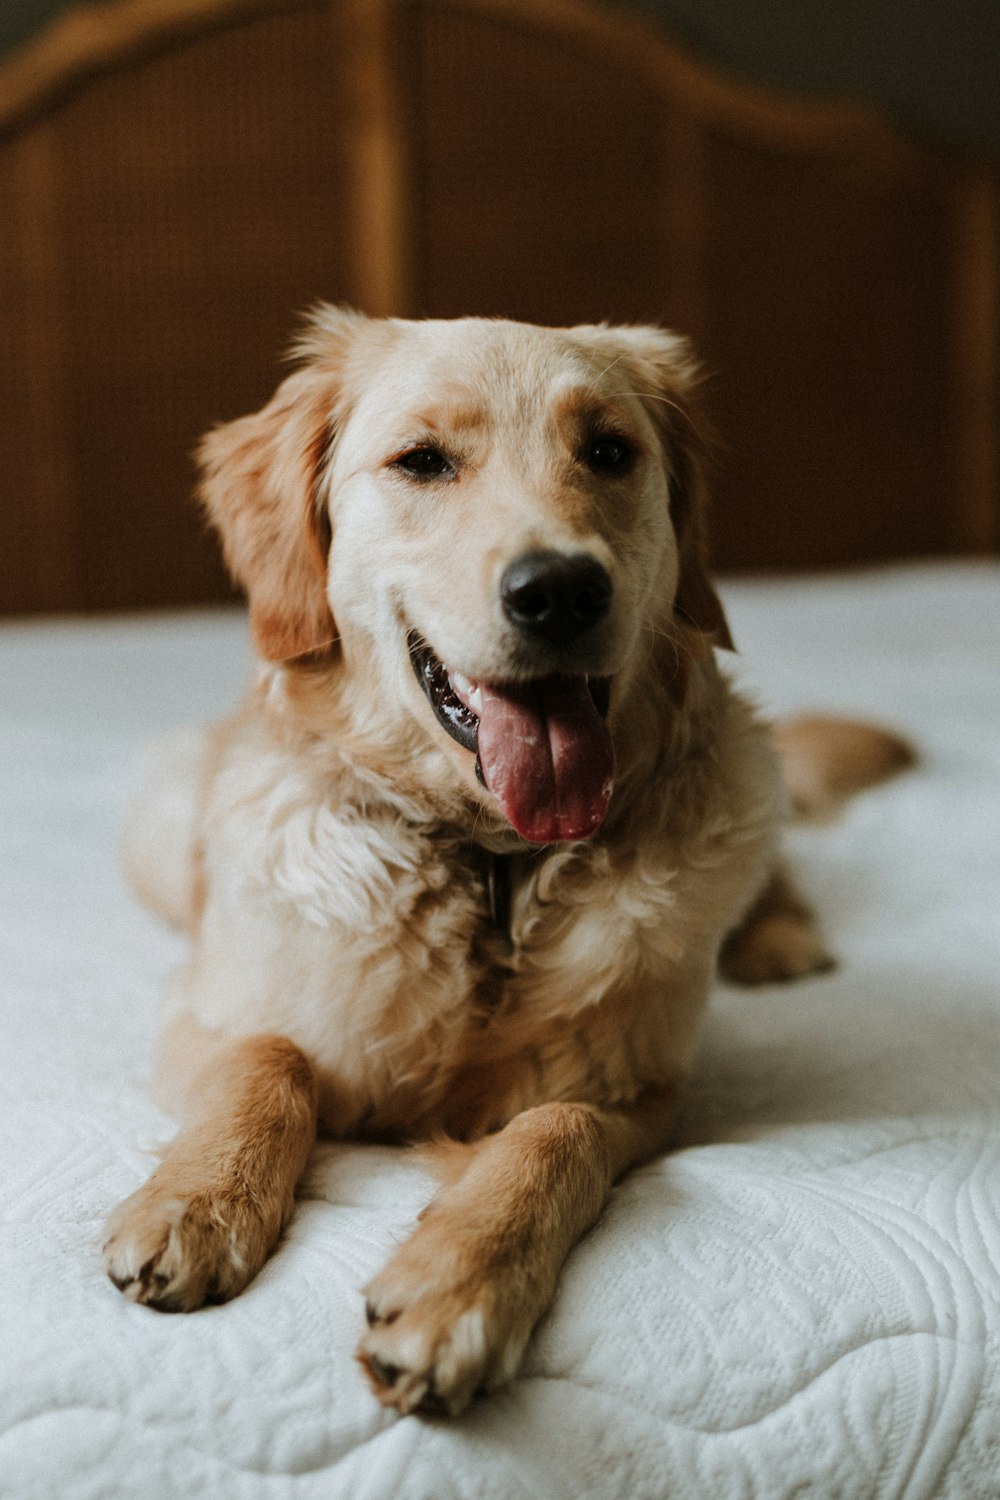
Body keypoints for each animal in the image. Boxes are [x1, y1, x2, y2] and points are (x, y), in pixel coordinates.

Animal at [103, 307, 917, 1416]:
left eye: (609, 452)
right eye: (422, 461)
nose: (561, 590)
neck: (494, 864)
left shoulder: (643, 1091)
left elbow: (553, 1132)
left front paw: (457, 1288)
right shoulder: (202, 1016)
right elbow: (267, 1063)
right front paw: (198, 1203)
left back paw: (779, 939)